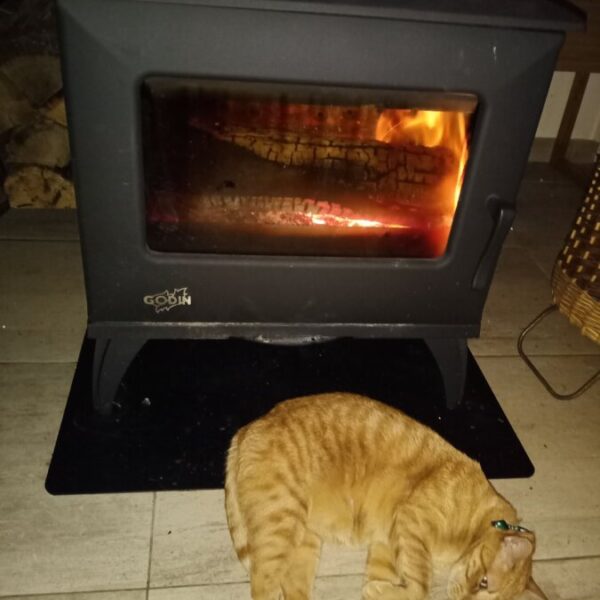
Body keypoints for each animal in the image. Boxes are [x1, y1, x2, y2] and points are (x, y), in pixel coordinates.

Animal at [225, 392, 548, 596]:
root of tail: (250, 426)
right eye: (483, 583)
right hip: (279, 526)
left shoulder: (385, 544)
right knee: (263, 585)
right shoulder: (412, 524)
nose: (464, 598)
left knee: (292, 588)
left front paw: (376, 590)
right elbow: (420, 586)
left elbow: (383, 582)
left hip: (304, 542)